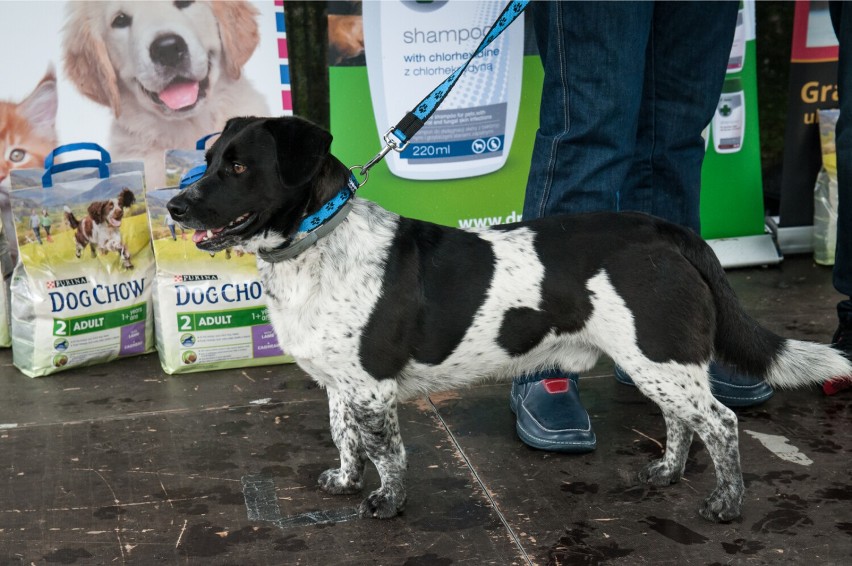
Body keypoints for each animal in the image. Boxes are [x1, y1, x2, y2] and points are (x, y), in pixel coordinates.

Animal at [168, 115, 852, 524]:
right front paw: (343, 479)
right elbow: (346, 439)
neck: (317, 241)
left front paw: (386, 501)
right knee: (684, 421)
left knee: (722, 423)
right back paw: (666, 471)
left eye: (238, 167)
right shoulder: (341, 386)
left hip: (659, 356)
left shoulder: (371, 389)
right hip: (657, 363)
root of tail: (666, 231)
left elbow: (388, 452)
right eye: (209, 157)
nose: (174, 205)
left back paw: (725, 502)